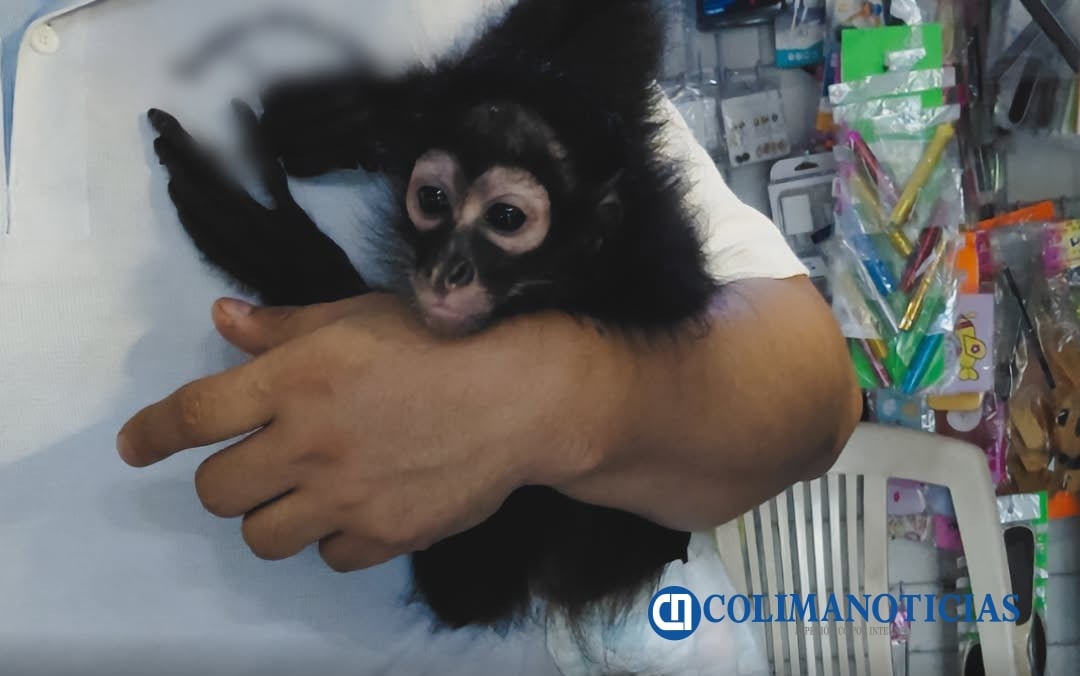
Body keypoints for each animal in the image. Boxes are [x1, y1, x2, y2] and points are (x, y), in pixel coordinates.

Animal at [147, 0, 719, 632]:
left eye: (507, 218)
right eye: (433, 200)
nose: (447, 271)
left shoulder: (647, 267)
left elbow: (468, 592)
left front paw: (281, 249)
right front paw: (365, 113)